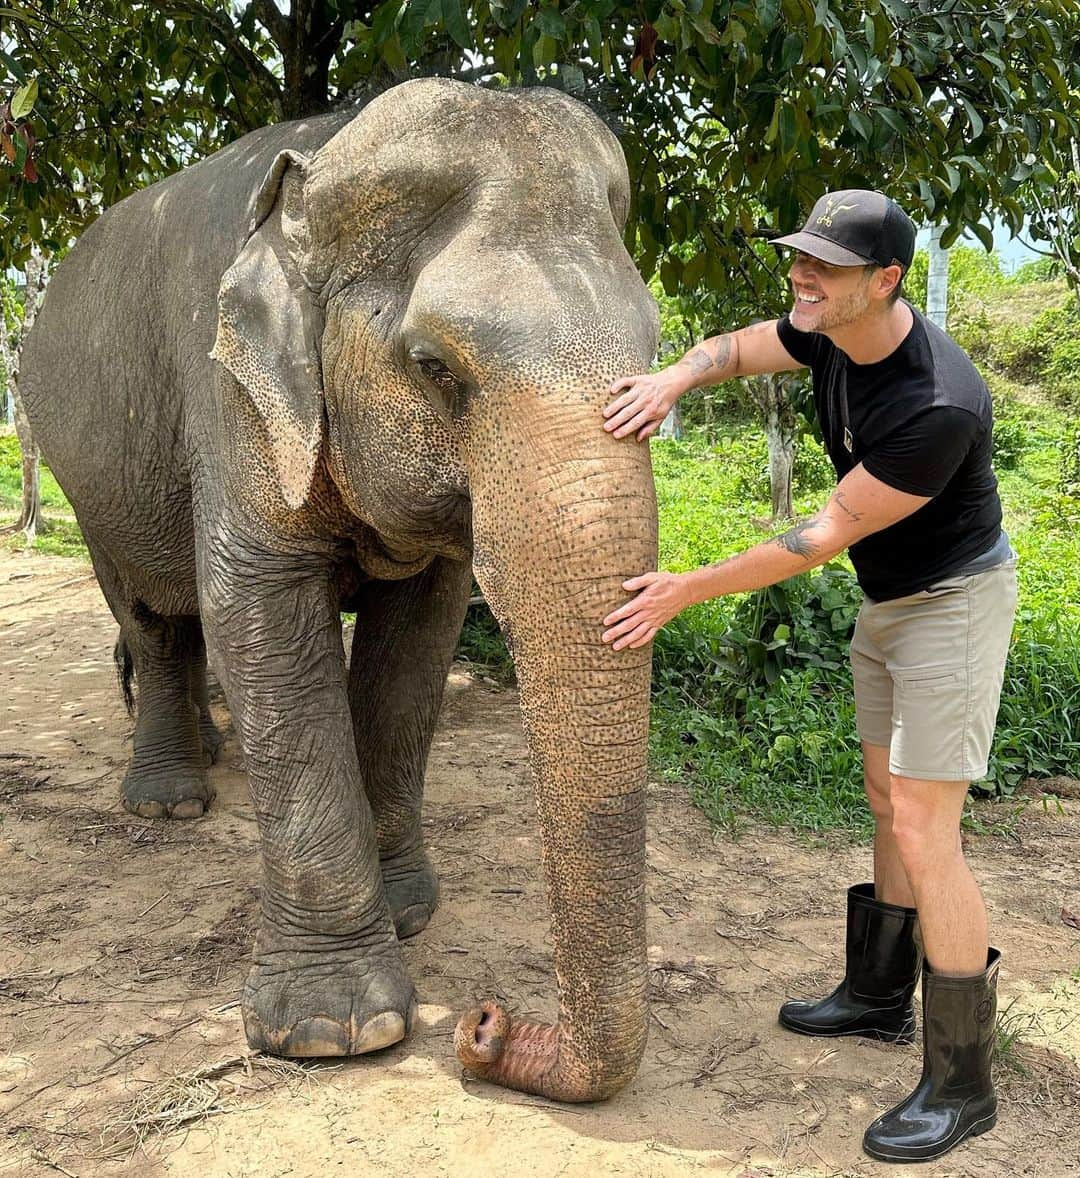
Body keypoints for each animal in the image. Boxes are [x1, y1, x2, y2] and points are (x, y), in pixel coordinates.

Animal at [21, 80, 659, 1102]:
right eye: (436, 368)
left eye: (659, 348)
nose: (487, 1025)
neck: (322, 164)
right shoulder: (228, 392)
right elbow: (257, 607)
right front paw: (333, 1030)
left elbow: (418, 642)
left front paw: (409, 916)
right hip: (87, 475)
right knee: (151, 615)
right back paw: (169, 804)